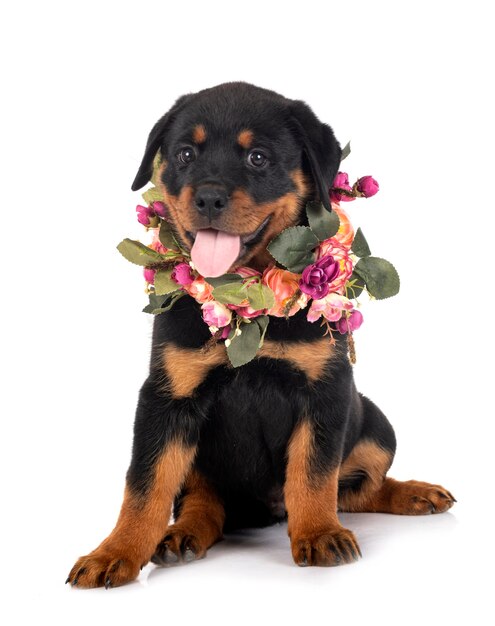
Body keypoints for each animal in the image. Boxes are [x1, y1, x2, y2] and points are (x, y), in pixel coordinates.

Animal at [67, 81, 458, 584]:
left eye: (258, 158)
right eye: (185, 154)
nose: (208, 198)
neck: (246, 298)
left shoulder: (326, 390)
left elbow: (313, 474)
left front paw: (318, 534)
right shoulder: (166, 398)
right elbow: (145, 485)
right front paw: (113, 552)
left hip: (374, 422)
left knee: (357, 488)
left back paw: (413, 493)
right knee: (203, 500)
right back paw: (182, 535)